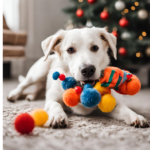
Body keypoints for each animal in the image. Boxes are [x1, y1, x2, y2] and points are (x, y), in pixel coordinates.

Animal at [7, 26, 149, 127]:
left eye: (95, 47)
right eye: (70, 49)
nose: (88, 70)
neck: (82, 88)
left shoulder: (113, 105)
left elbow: (125, 109)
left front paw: (137, 117)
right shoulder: (51, 100)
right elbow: (55, 105)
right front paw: (57, 116)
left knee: (38, 90)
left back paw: (31, 96)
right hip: (38, 72)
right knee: (23, 84)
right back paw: (13, 95)